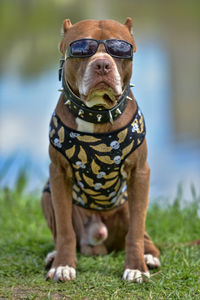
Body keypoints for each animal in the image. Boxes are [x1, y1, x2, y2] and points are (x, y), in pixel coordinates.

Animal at [41, 17, 161, 282]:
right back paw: (54, 256)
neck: (95, 113)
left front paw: (136, 267)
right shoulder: (58, 175)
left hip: (127, 204)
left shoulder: (140, 173)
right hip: (46, 194)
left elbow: (136, 229)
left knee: (142, 232)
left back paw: (149, 256)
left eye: (121, 48)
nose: (103, 64)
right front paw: (64, 265)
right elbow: (64, 229)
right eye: (81, 48)